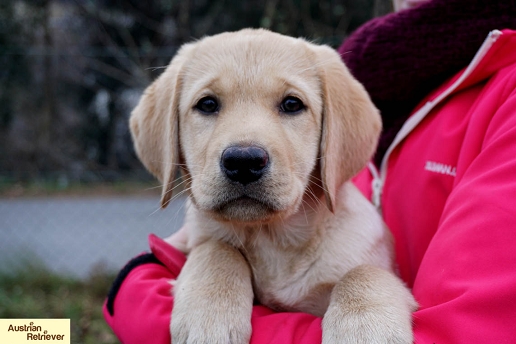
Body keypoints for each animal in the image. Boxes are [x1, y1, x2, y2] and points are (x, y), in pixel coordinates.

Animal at [131, 28, 418, 342]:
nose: (243, 161)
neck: (272, 240)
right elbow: (216, 249)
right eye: (207, 104)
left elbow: (363, 272)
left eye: (292, 104)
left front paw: (364, 330)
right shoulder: (198, 240)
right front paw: (209, 315)